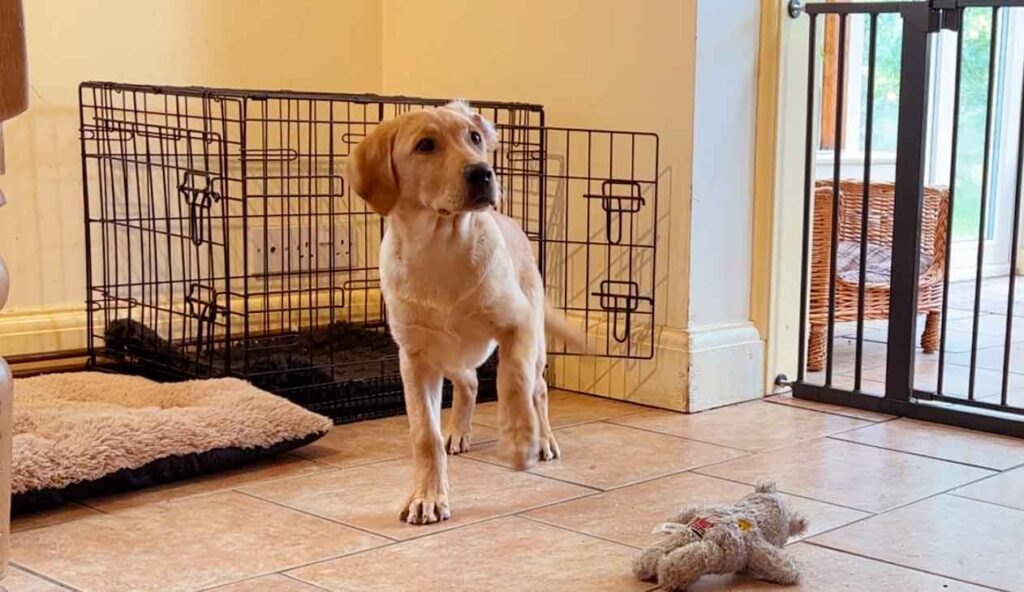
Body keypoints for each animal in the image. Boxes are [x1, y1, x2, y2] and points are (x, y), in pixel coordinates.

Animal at [350, 100, 577, 520]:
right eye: (425, 145)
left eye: (474, 138)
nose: (483, 172)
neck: (441, 246)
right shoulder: (416, 357)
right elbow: (425, 433)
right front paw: (426, 497)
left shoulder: (518, 326)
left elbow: (513, 382)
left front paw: (520, 442)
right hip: (448, 353)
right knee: (469, 383)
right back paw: (457, 432)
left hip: (534, 339)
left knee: (537, 388)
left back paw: (543, 439)